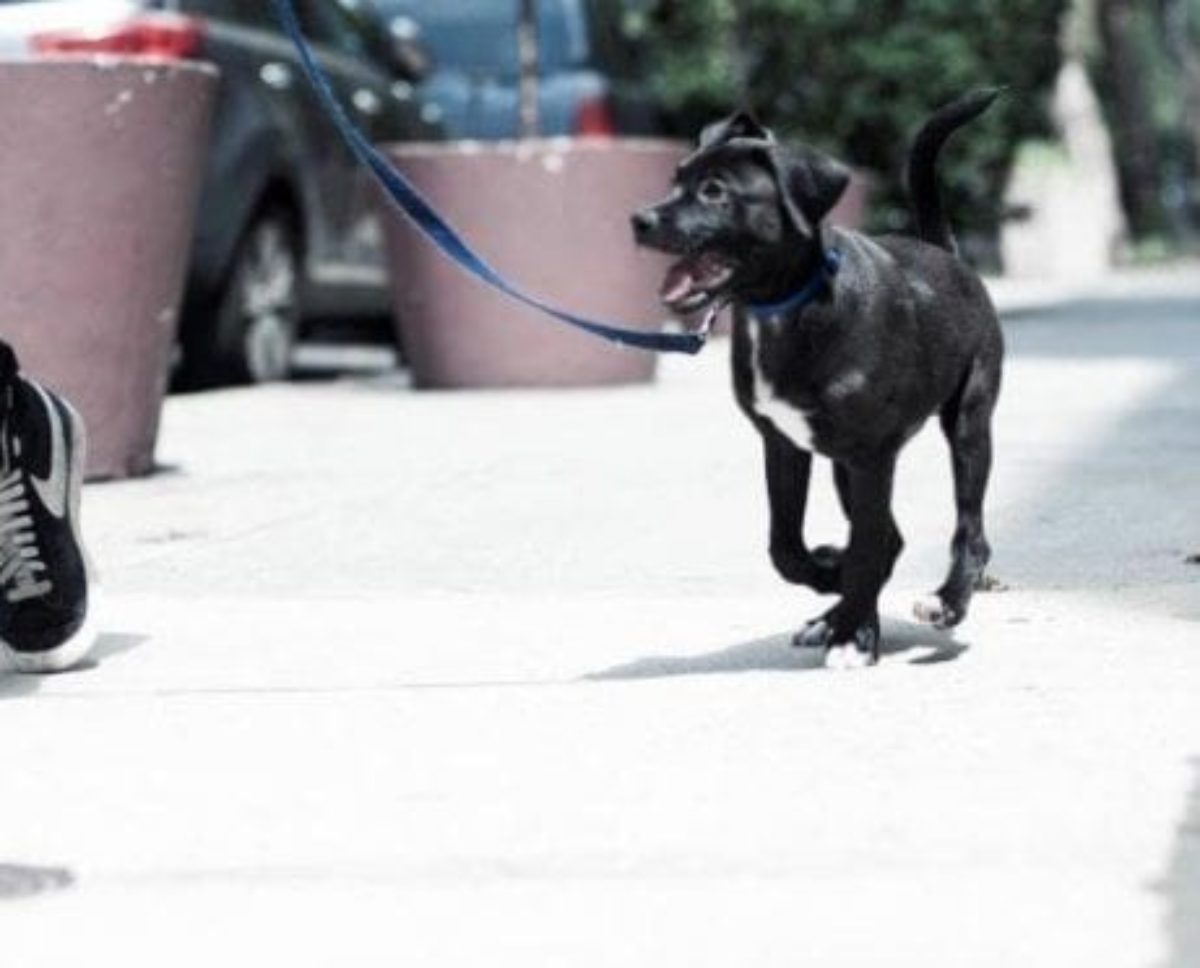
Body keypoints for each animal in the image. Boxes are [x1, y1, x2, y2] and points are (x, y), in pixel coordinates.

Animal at [638, 88, 1003, 666]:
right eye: (675, 179)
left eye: (715, 191)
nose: (640, 219)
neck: (787, 308)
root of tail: (945, 253)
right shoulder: (785, 443)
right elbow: (787, 546)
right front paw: (833, 583)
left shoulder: (873, 454)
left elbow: (867, 546)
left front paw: (854, 632)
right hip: (842, 464)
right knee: (889, 538)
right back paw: (834, 613)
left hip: (968, 421)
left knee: (968, 531)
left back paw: (944, 603)